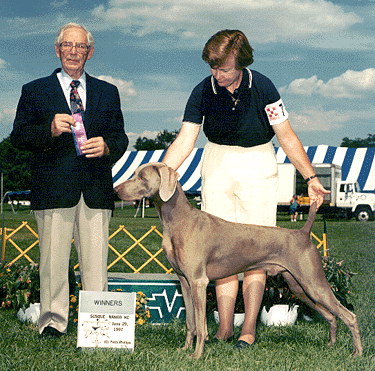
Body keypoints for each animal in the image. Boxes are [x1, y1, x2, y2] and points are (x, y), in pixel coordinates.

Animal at [114, 163, 362, 360]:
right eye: (134, 173)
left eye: (142, 176)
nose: (116, 189)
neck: (177, 220)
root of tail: (302, 232)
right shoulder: (184, 281)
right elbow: (190, 322)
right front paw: (184, 350)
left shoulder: (198, 281)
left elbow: (201, 325)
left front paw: (197, 355)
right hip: (298, 286)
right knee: (331, 316)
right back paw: (330, 344)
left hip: (313, 282)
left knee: (349, 316)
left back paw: (357, 353)